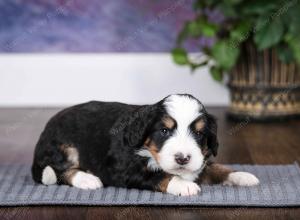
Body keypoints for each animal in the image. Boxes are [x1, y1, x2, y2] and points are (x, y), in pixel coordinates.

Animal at [32, 93, 258, 195]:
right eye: (164, 131)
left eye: (198, 133)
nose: (182, 159)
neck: (147, 149)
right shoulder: (125, 170)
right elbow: (160, 175)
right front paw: (184, 185)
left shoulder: (199, 162)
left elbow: (215, 167)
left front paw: (241, 175)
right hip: (64, 147)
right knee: (59, 170)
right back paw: (87, 179)